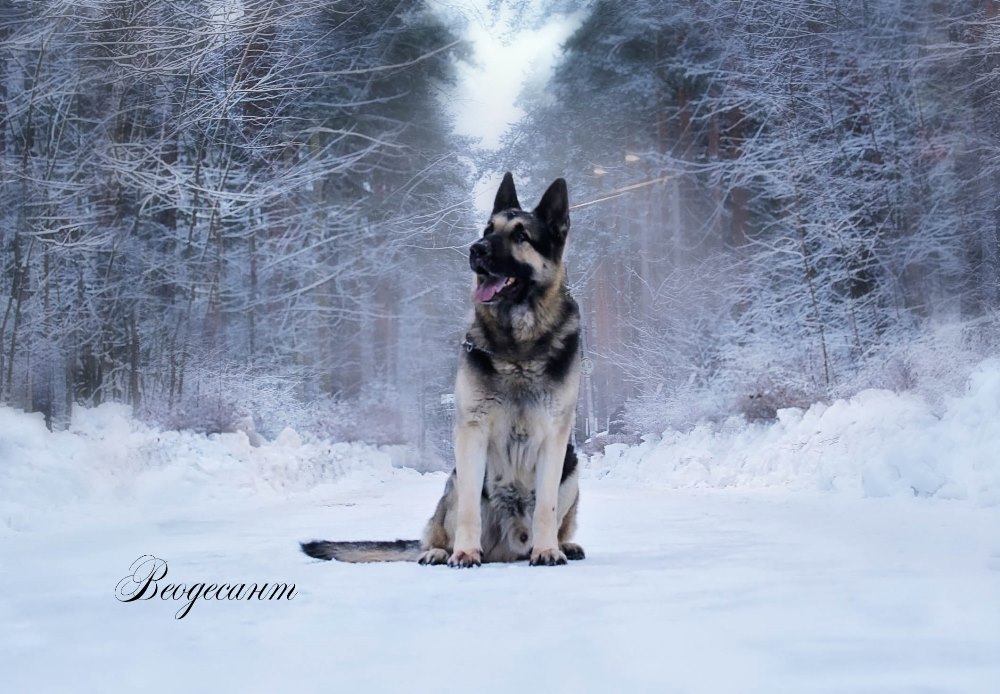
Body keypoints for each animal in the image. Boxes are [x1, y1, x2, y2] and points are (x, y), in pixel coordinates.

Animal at [300, 173, 584, 564]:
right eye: (488, 229)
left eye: (521, 236)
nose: (476, 249)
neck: (518, 346)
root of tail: (508, 548)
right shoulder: (471, 431)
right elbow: (468, 511)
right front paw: (464, 553)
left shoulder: (554, 438)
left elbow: (547, 507)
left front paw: (547, 550)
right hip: (453, 482)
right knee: (436, 530)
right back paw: (439, 552)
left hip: (572, 470)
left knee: (560, 518)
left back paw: (562, 545)